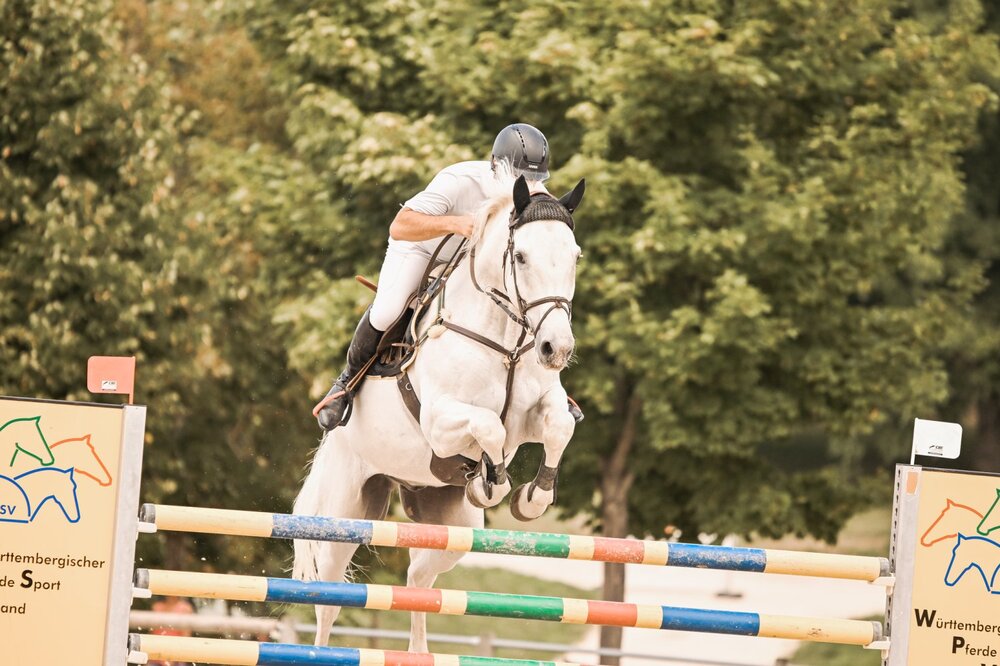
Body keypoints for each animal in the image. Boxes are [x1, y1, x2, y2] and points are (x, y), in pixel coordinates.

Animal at [293, 174, 585, 652]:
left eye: (574, 256)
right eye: (520, 256)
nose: (555, 349)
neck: (503, 340)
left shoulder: (533, 417)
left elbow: (557, 427)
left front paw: (532, 497)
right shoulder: (440, 423)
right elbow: (489, 427)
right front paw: (492, 482)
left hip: (448, 527)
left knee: (418, 579)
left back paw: (418, 651)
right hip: (344, 515)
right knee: (328, 596)